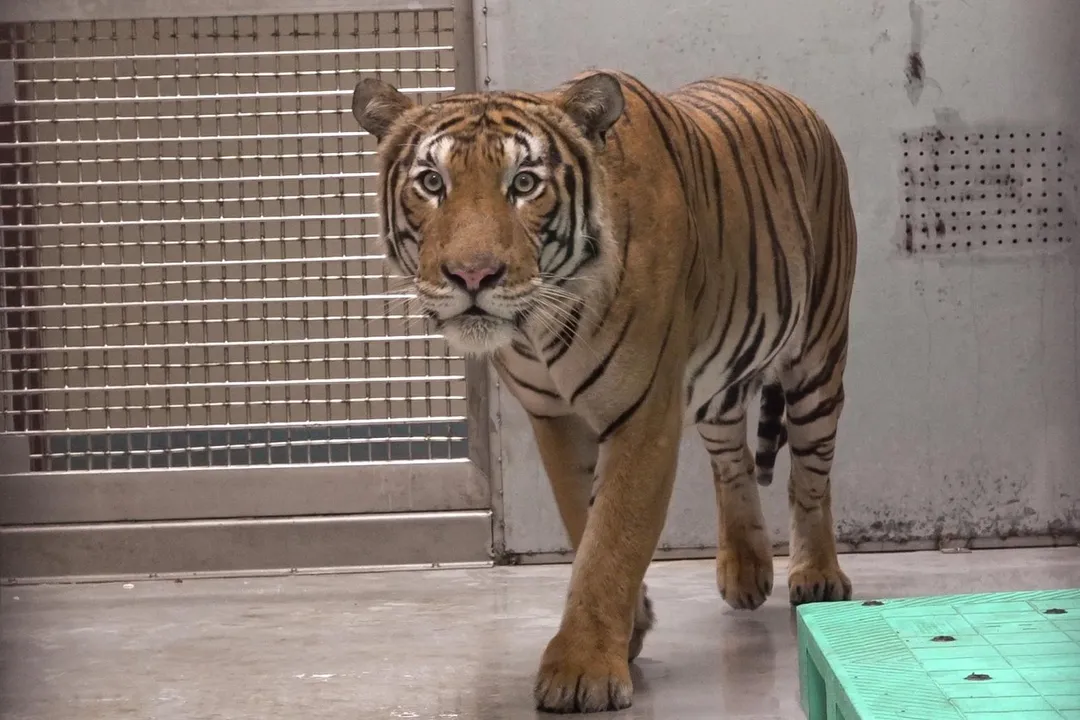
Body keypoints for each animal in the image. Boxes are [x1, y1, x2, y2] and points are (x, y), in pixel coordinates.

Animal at [351, 68, 857, 713]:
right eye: (432, 182)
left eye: (524, 183)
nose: (473, 275)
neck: (541, 326)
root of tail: (784, 94)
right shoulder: (556, 420)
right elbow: (583, 522)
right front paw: (629, 627)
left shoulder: (644, 414)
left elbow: (613, 535)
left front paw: (582, 670)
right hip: (722, 383)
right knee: (732, 462)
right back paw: (745, 572)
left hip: (819, 353)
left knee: (811, 471)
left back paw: (815, 576)